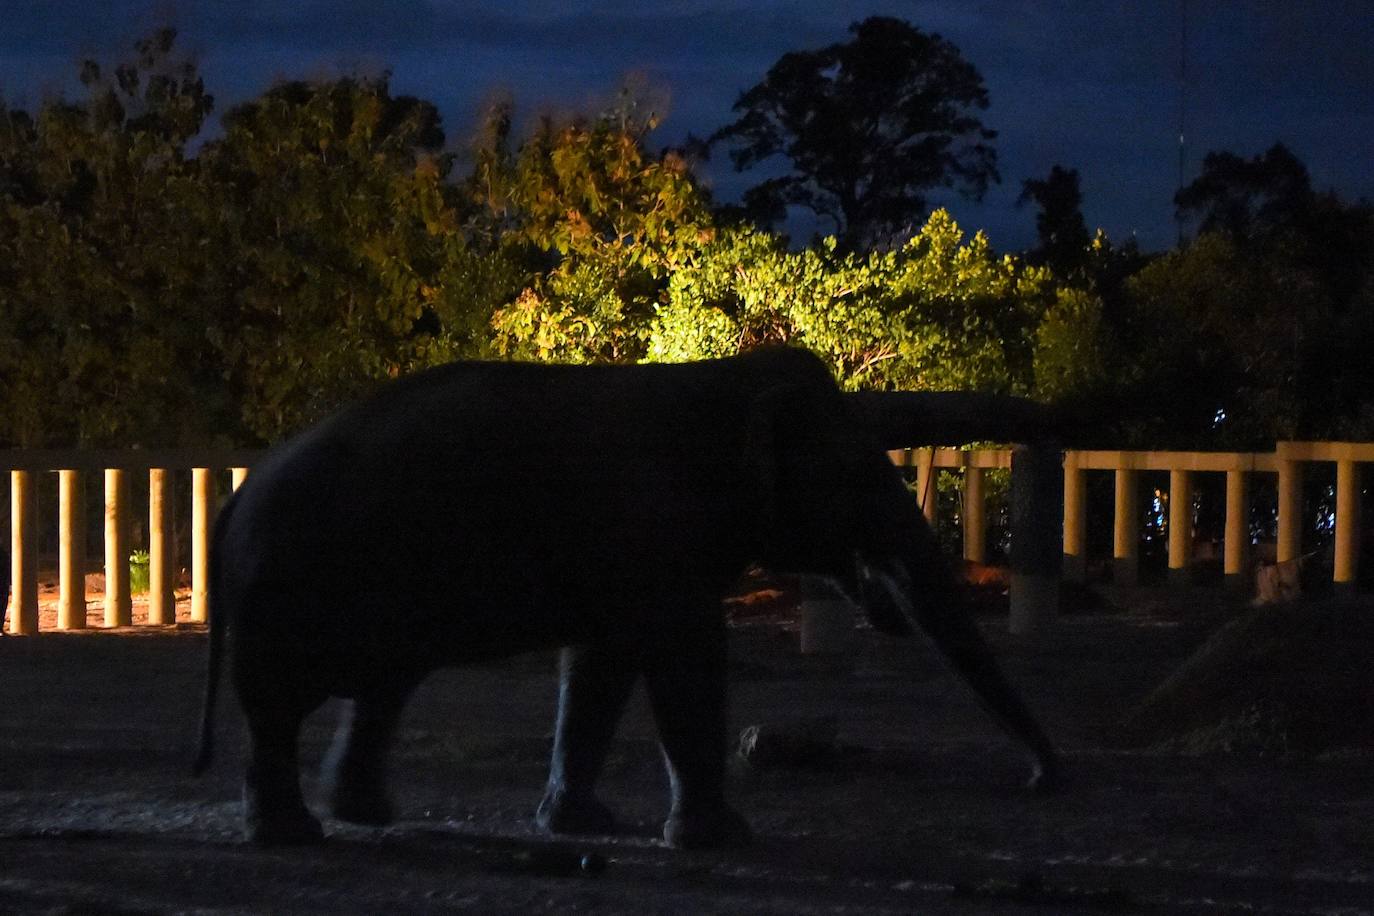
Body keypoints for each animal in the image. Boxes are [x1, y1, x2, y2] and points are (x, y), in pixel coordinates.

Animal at [193, 347, 1055, 851]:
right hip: (290, 590)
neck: (720, 377)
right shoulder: (651, 532)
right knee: (281, 704)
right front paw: (724, 838)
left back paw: (364, 816)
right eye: (857, 480)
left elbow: (600, 667)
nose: (1040, 781)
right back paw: (293, 834)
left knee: (381, 687)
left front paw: (583, 827)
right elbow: (682, 655)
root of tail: (237, 500)